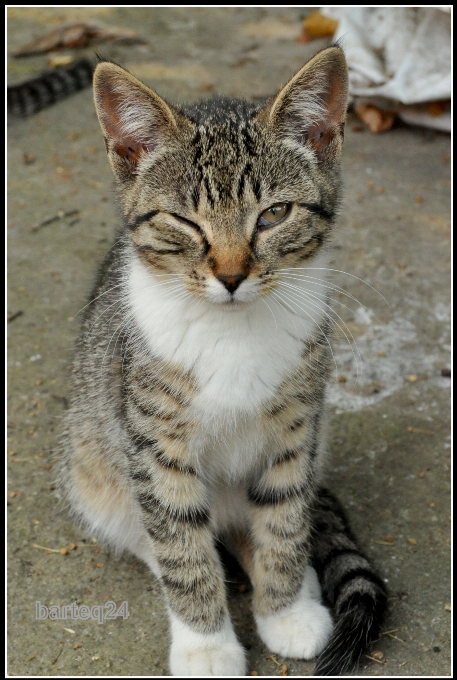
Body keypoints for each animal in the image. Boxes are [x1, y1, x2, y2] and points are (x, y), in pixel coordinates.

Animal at [56, 45, 384, 676]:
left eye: (274, 214)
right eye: (185, 222)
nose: (231, 275)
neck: (232, 331)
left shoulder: (297, 428)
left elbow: (284, 517)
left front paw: (285, 609)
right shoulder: (153, 440)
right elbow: (181, 542)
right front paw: (205, 644)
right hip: (90, 455)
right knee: (153, 527)